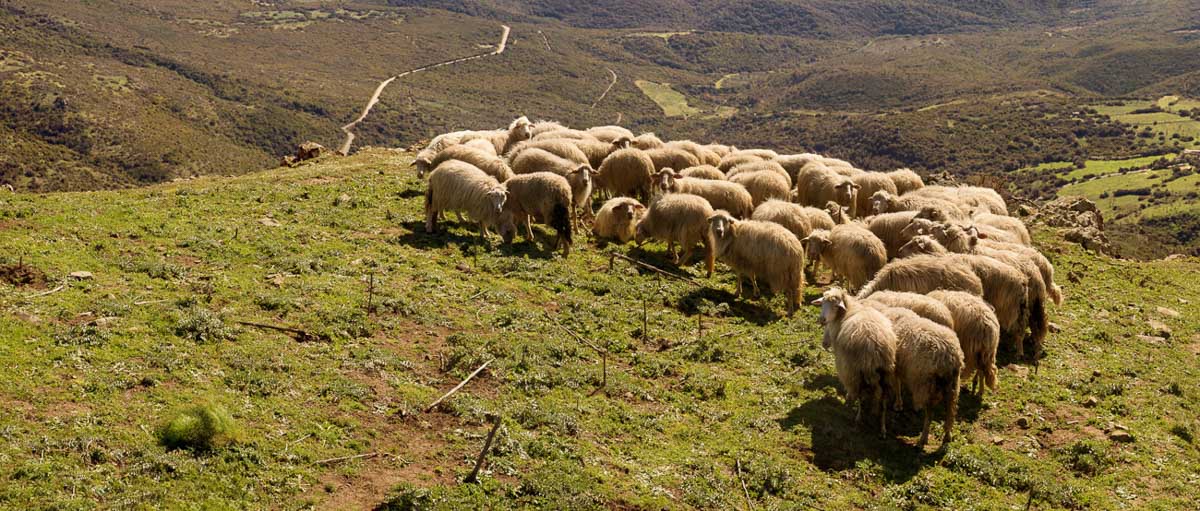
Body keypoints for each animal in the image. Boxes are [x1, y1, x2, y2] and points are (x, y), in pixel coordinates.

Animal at [813, 288, 899, 435]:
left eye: (835, 305)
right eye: (822, 303)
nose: (822, 319)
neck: (846, 312)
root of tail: (874, 346)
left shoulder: (844, 364)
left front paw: (848, 398)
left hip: (856, 370)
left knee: (860, 395)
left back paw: (858, 418)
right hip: (886, 372)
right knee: (883, 400)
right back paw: (882, 428)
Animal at [881, 307, 963, 449]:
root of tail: (949, 356)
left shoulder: (895, 366)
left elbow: (897, 384)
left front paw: (898, 404)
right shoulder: (899, 366)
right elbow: (898, 383)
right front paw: (899, 404)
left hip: (926, 385)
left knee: (929, 414)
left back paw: (922, 440)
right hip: (953, 386)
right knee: (950, 412)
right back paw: (947, 436)